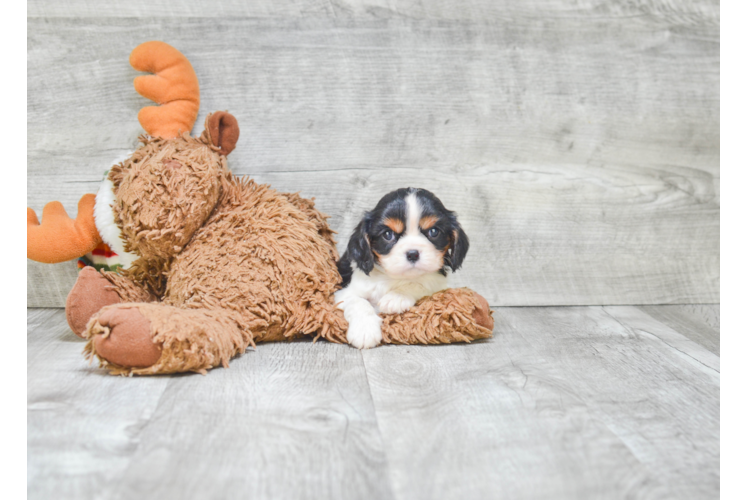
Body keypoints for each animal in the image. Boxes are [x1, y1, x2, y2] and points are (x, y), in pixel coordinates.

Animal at [338, 187, 468, 348]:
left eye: (433, 232)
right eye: (388, 234)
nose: (413, 254)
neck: (393, 277)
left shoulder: (438, 286)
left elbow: (420, 285)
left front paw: (396, 297)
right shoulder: (343, 294)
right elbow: (357, 301)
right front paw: (364, 331)